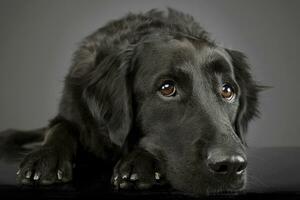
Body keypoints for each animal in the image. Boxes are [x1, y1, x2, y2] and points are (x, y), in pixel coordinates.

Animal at [1, 9, 262, 195]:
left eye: (227, 91)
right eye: (167, 88)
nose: (230, 165)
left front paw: (139, 162)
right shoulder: (72, 110)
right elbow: (60, 128)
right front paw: (45, 157)